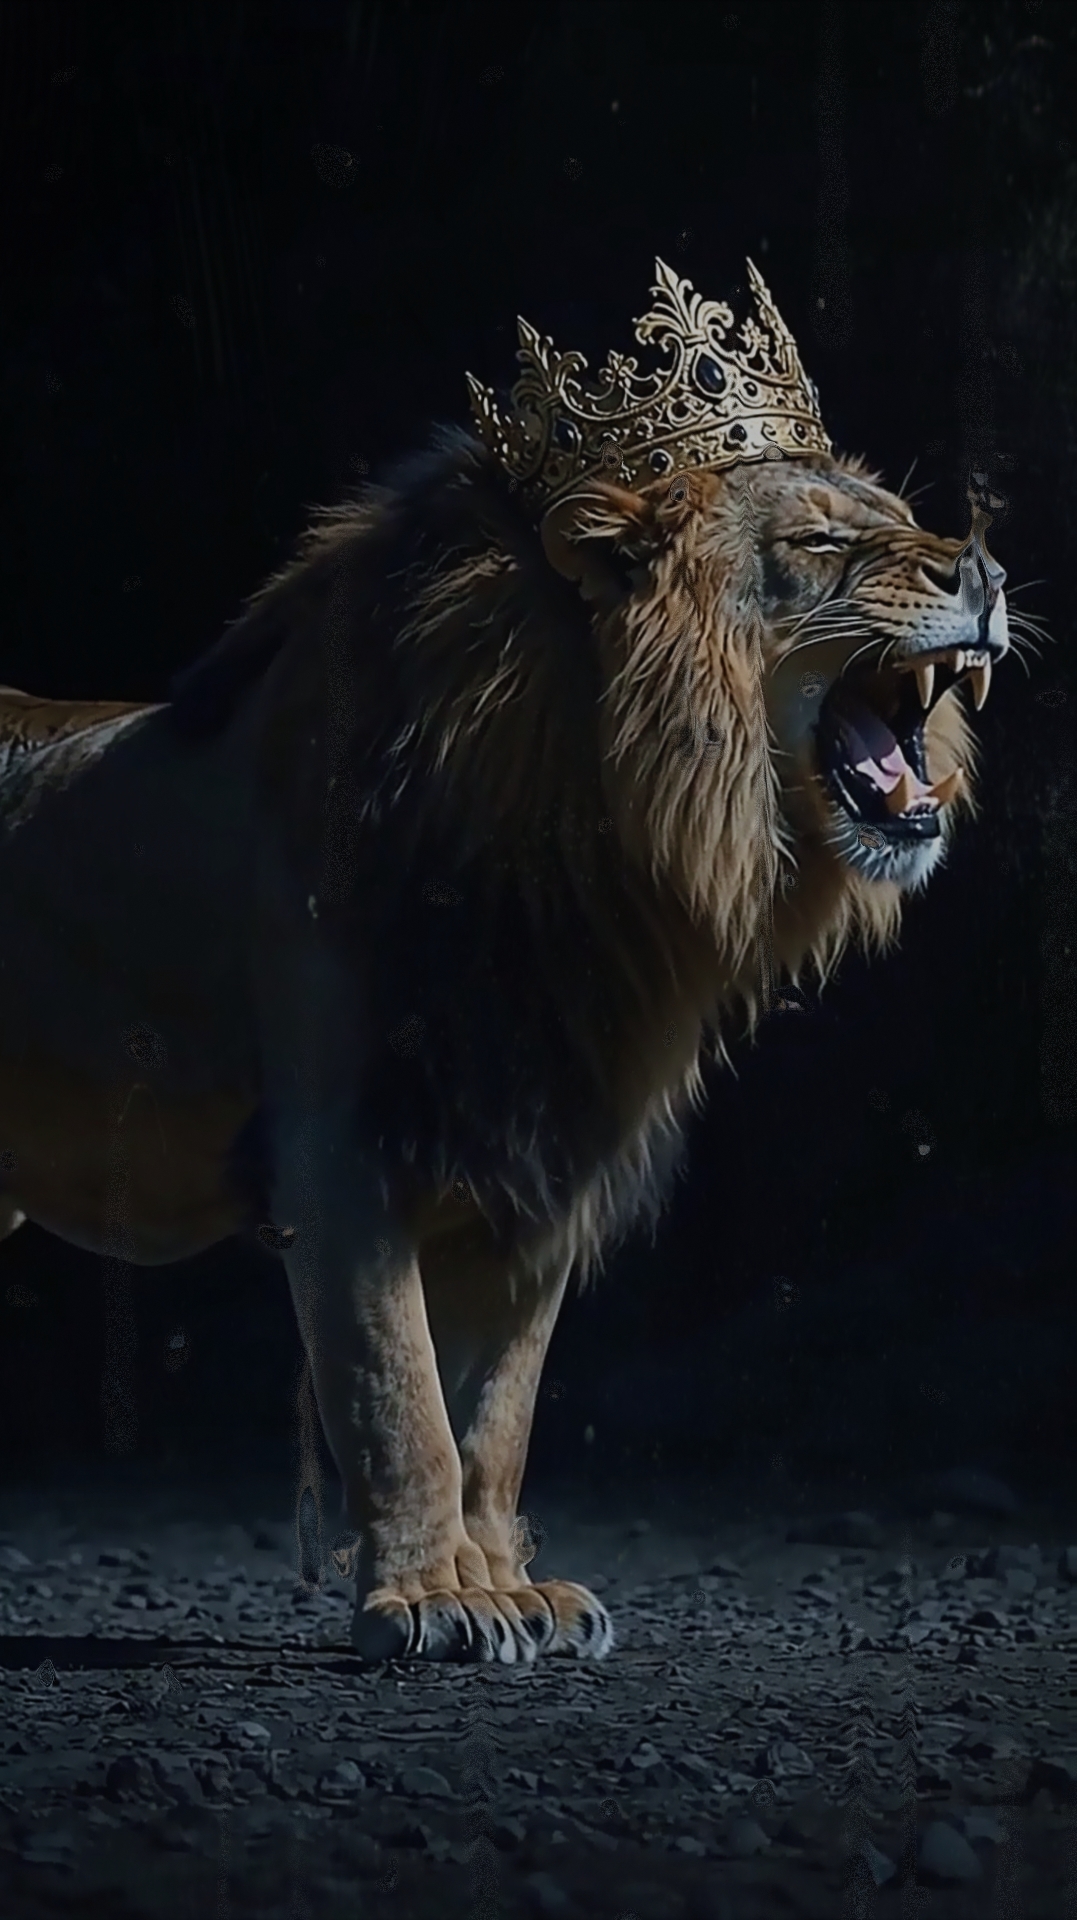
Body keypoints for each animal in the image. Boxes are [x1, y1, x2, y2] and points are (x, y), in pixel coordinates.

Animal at [0, 409, 1008, 1664]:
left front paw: (507, 1588)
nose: (987, 573)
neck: (590, 832)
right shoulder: (342, 1153)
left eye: (905, 519)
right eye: (820, 541)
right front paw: (432, 1599)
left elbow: (497, 1415)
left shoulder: (540, 1154)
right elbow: (402, 1399)